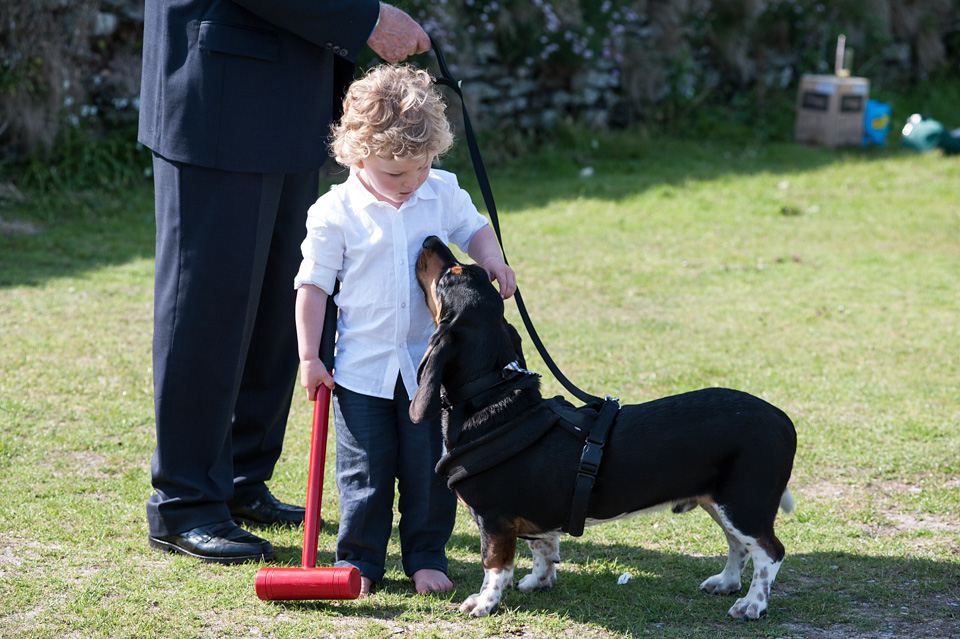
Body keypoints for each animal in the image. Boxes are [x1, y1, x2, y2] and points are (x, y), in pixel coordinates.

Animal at [408, 236, 800, 620]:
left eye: (450, 275)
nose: (429, 239)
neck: (491, 394)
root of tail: (782, 419)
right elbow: (543, 548)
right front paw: (539, 581)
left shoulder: (493, 520)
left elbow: (495, 566)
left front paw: (483, 603)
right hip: (721, 504)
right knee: (739, 547)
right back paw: (726, 583)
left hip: (744, 505)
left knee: (770, 552)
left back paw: (752, 604)